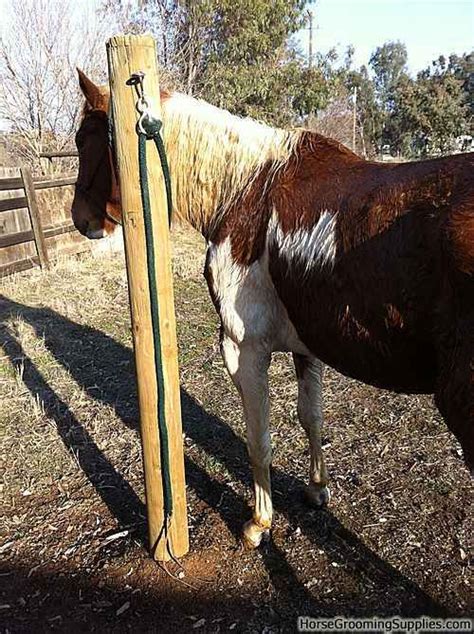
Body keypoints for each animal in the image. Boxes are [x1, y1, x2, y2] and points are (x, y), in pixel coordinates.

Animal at [73, 68, 474, 544]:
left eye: (83, 139)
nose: (80, 218)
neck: (246, 188)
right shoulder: (307, 347)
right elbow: (311, 417)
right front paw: (317, 489)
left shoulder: (243, 349)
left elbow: (259, 440)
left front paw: (258, 522)